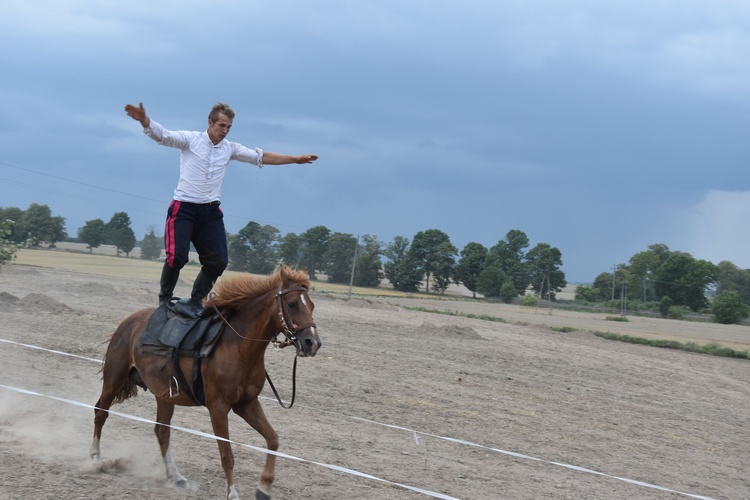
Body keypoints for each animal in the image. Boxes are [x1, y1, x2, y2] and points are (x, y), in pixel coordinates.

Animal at [89, 264, 324, 498]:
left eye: (311, 305)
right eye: (292, 304)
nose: (312, 343)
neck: (239, 347)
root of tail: (129, 321)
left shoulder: (246, 403)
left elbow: (273, 439)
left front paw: (264, 488)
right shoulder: (218, 408)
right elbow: (227, 455)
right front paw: (233, 493)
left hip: (164, 395)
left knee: (162, 431)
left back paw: (175, 476)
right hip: (114, 379)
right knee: (101, 413)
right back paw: (96, 459)